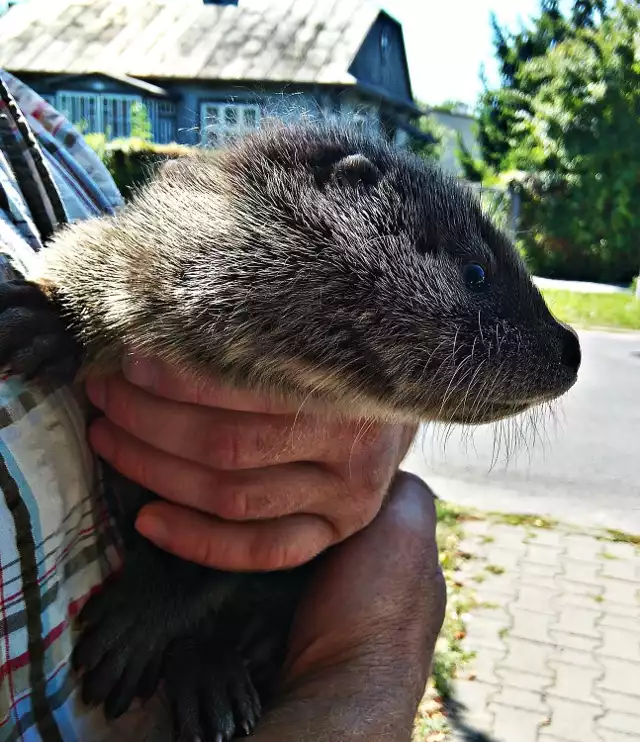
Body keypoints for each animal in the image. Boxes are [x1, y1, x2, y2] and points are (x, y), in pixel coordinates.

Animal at [0, 119, 580, 740]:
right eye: (476, 273)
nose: (570, 347)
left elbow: (210, 565)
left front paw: (148, 618)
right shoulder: (143, 253)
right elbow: (91, 251)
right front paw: (45, 319)